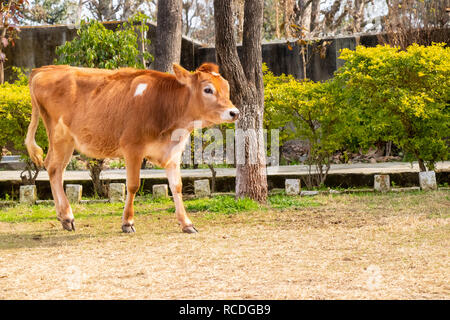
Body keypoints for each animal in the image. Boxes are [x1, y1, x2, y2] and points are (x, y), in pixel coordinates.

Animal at [26, 62, 239, 232]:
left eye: (226, 87)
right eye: (208, 90)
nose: (234, 112)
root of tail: (46, 69)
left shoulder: (173, 152)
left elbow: (176, 186)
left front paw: (186, 223)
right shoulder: (132, 148)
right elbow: (133, 185)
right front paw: (127, 222)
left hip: (68, 141)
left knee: (55, 169)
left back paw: (64, 217)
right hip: (60, 136)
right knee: (54, 168)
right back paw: (67, 216)